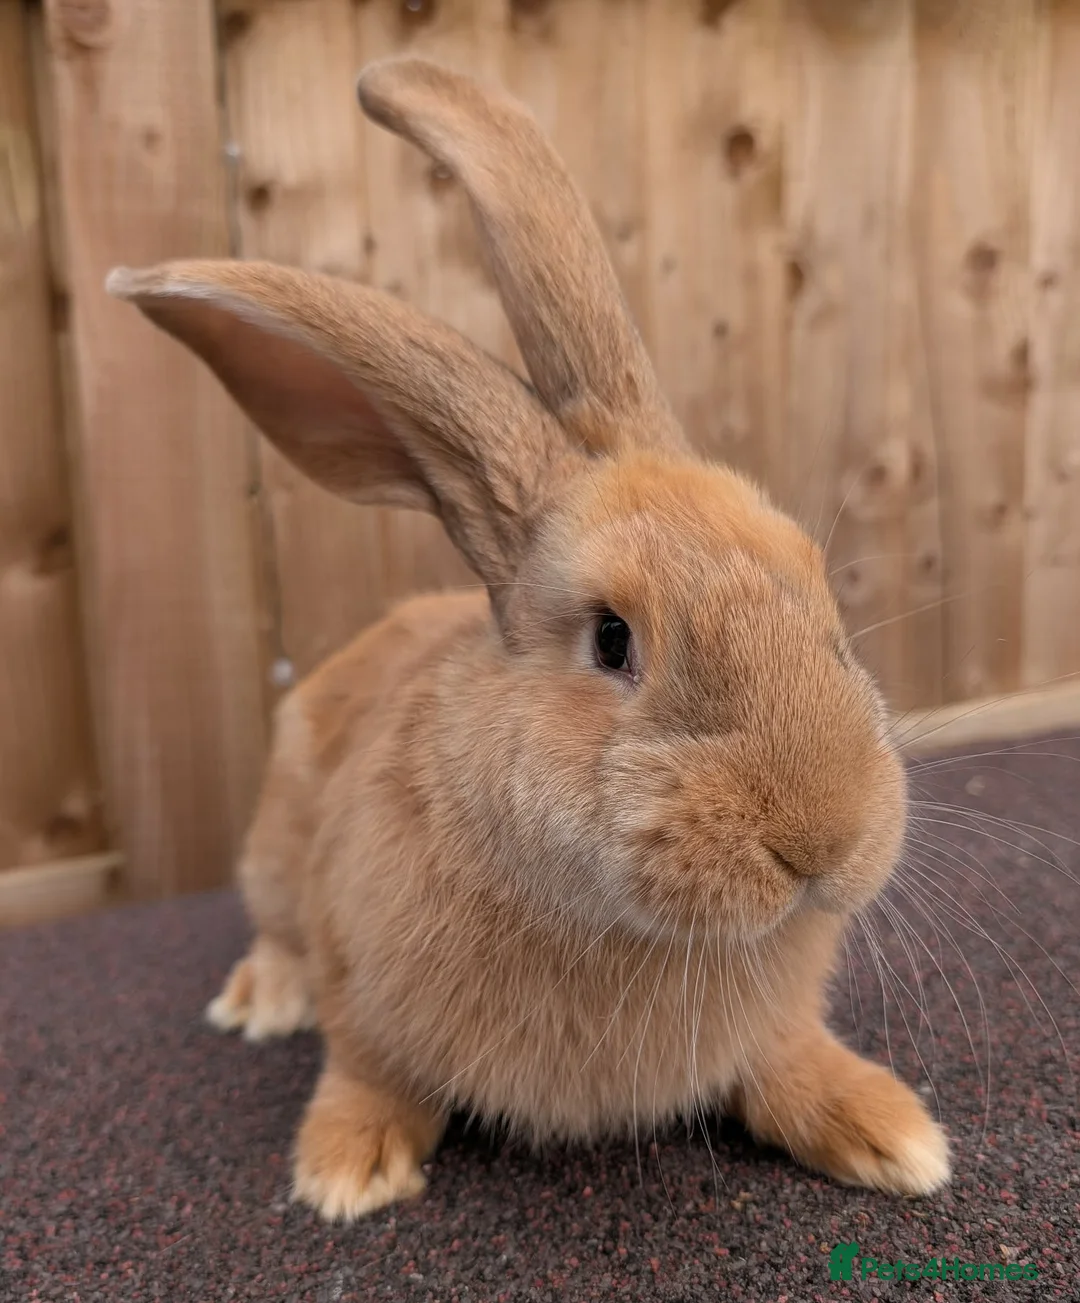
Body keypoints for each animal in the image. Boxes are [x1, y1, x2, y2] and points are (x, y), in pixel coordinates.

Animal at [106, 56, 949, 1222]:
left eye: (820, 599)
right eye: (612, 639)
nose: (824, 840)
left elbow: (791, 1060)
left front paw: (892, 1132)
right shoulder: (356, 970)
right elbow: (365, 1067)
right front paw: (346, 1171)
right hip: (273, 850)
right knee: (275, 932)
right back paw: (260, 999)